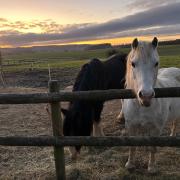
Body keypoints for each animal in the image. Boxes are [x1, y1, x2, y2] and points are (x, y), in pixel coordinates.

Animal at [121, 37, 180, 174]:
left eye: (156, 63)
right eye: (133, 63)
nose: (146, 96)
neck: (142, 107)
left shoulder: (156, 128)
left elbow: (153, 148)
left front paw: (152, 167)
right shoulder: (131, 126)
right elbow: (132, 147)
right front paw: (130, 164)